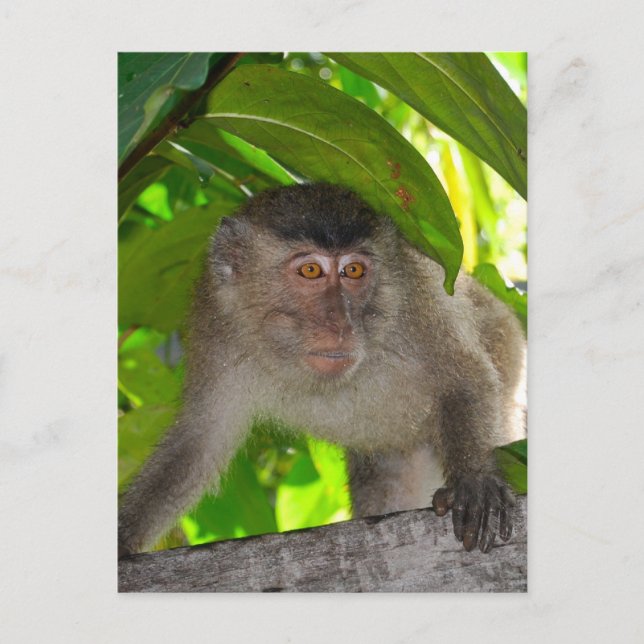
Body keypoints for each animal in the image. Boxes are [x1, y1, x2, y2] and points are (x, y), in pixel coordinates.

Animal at [118, 182, 526, 558]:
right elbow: (198, 441)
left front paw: (473, 481)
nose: (340, 322)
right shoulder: (216, 327)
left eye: (353, 271)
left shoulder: (416, 294)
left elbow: (464, 376)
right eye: (311, 270)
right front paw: (121, 541)